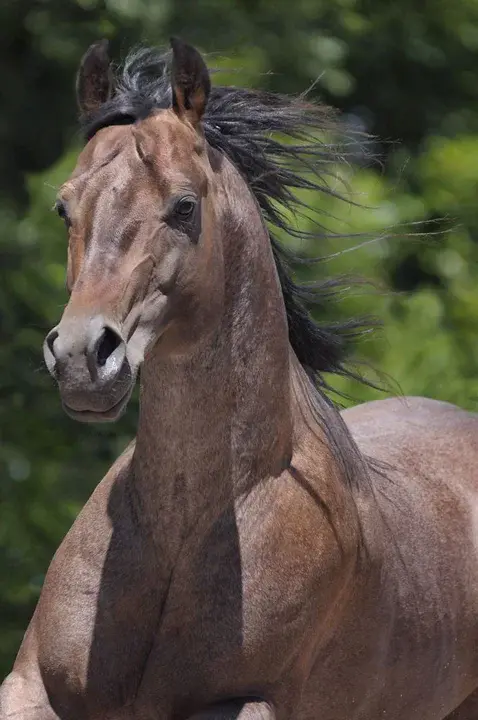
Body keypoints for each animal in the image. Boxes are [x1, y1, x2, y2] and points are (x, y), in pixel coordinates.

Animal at [0, 38, 478, 720]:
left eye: (184, 205)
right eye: (64, 206)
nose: (82, 358)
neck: (178, 531)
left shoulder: (243, 700)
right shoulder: (31, 685)